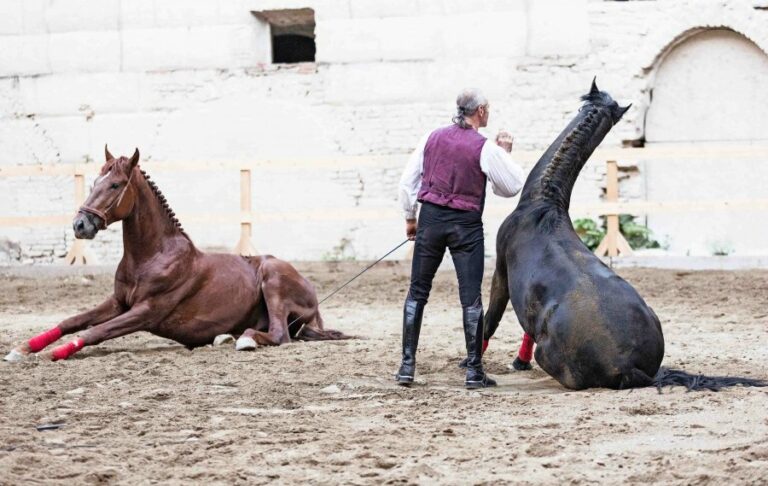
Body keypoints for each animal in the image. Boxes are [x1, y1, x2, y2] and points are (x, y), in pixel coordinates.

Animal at [5, 146, 348, 362]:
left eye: (115, 185)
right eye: (95, 182)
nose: (80, 225)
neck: (151, 257)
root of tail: (313, 297)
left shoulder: (146, 311)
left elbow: (95, 331)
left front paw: (56, 353)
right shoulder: (118, 303)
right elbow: (72, 321)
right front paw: (20, 350)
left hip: (272, 280)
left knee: (278, 335)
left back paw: (244, 339)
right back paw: (225, 337)